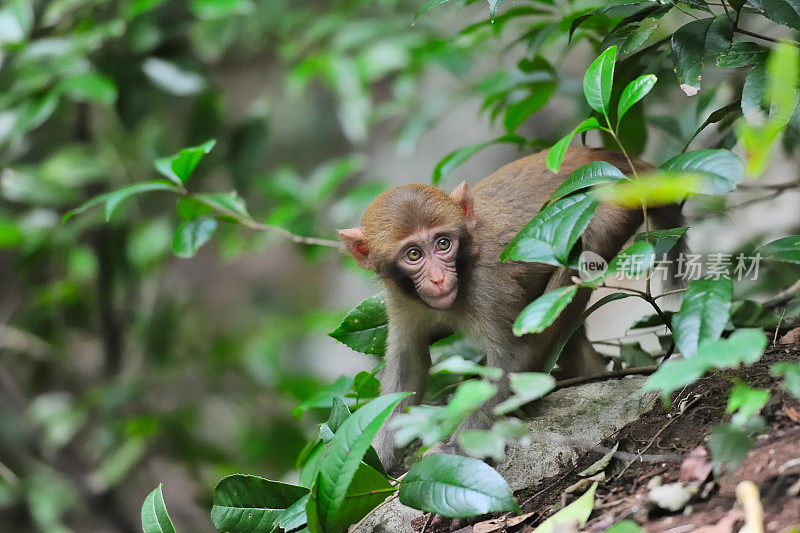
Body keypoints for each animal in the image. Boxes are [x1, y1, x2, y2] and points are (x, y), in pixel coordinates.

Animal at [338, 145, 680, 466]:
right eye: (413, 254)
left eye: (443, 244)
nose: (437, 279)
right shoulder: (400, 299)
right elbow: (408, 369)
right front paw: (371, 455)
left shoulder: (488, 285)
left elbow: (511, 360)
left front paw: (454, 450)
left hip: (617, 205)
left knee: (585, 246)